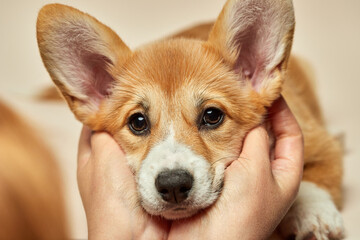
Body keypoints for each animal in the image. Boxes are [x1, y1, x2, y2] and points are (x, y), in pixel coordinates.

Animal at [36, 0, 344, 239]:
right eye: (138, 122)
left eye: (212, 115)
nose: (173, 185)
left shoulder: (320, 143)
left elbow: (312, 181)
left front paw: (315, 215)